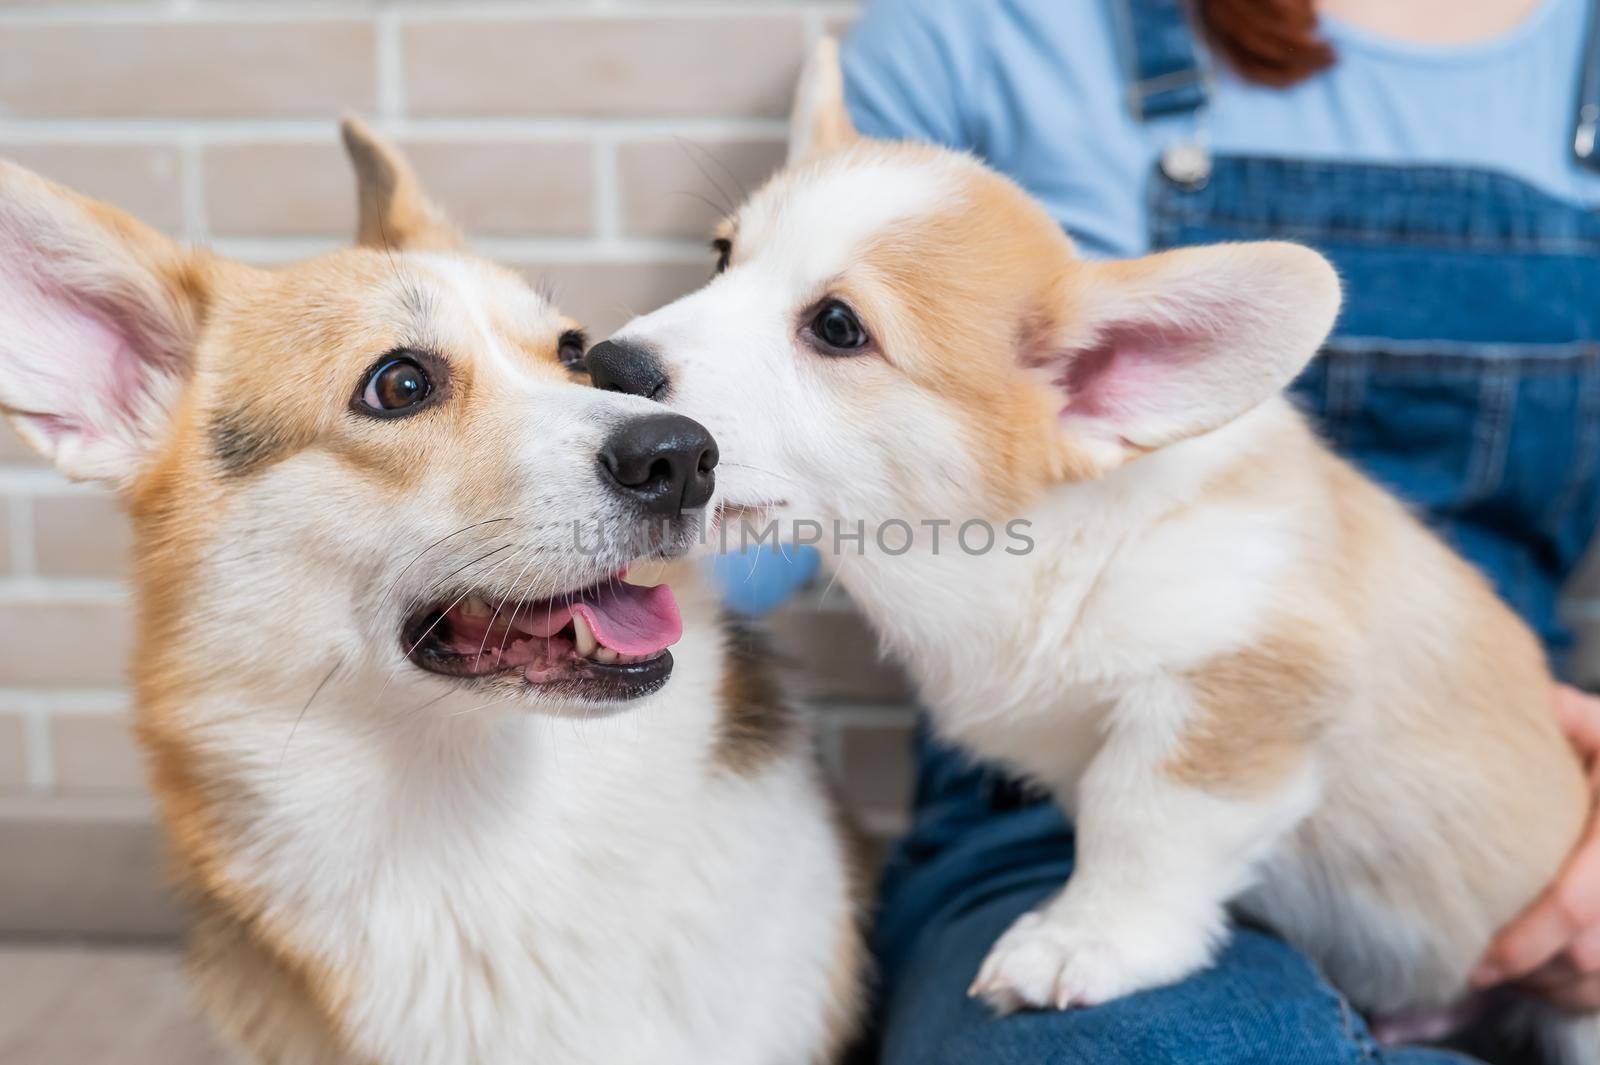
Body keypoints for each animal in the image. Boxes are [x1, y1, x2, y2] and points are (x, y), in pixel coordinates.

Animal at [601, 41, 1600, 1055]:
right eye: (722, 257)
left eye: (838, 327)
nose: (607, 364)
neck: (1029, 552)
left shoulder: (1243, 682)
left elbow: (1144, 818)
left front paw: (1083, 939)